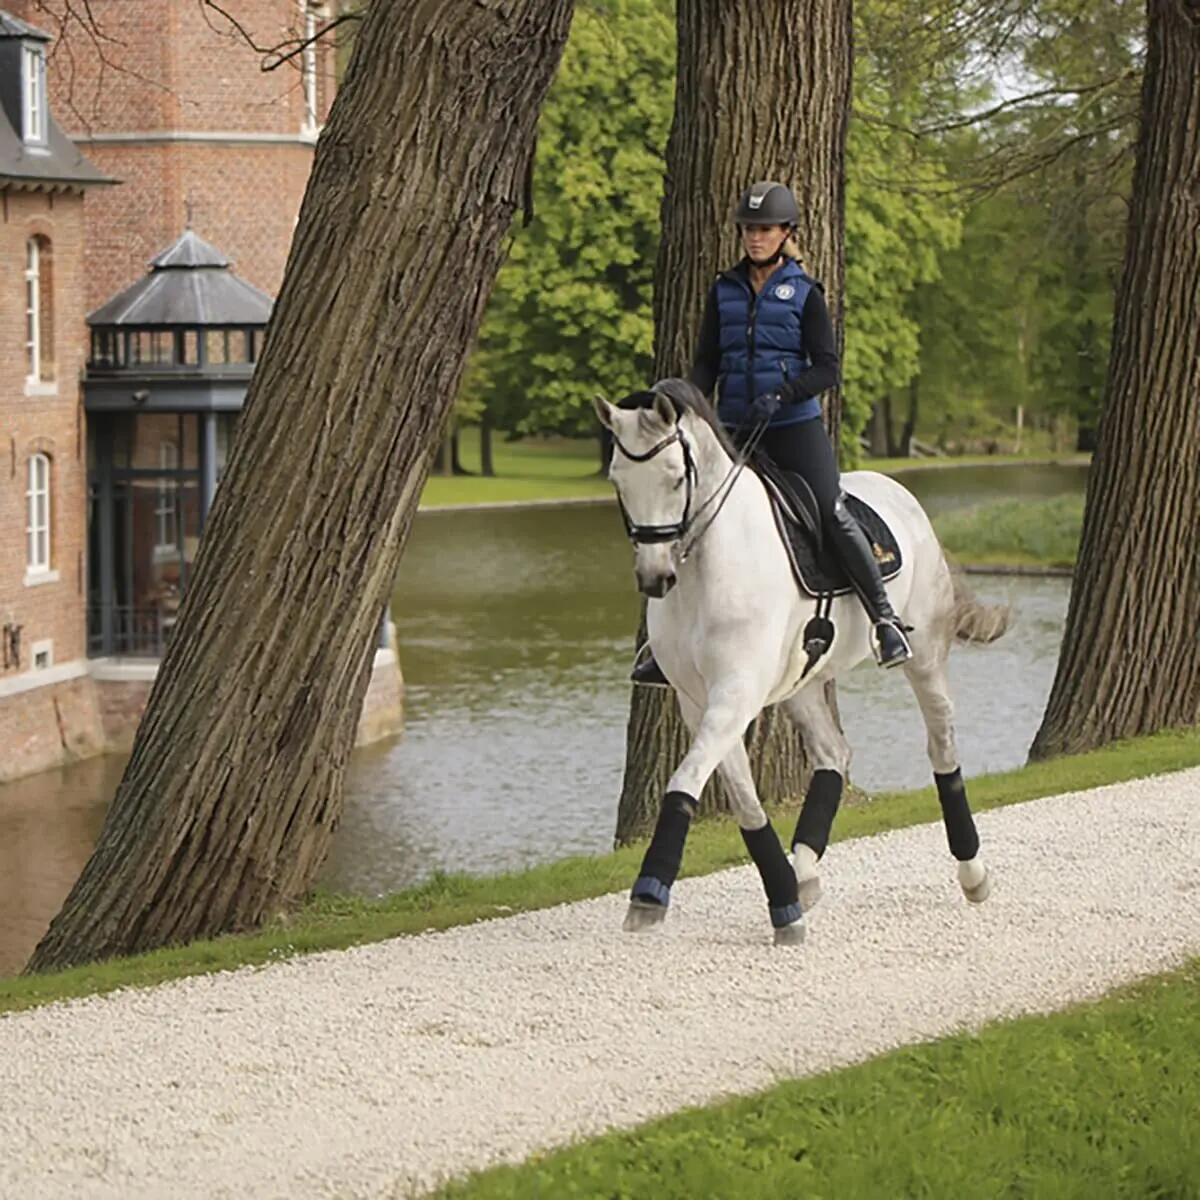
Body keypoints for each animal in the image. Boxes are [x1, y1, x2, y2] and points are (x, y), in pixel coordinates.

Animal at [594, 379, 1010, 946]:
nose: (654, 578)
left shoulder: (735, 691)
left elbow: (684, 780)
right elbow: (743, 800)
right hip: (802, 682)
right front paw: (784, 903)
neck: (706, 569)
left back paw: (973, 873)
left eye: (676, 476)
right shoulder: (698, 699)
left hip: (923, 657)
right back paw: (804, 874)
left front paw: (649, 890)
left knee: (942, 744)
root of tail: (900, 494)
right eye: (617, 480)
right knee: (834, 753)